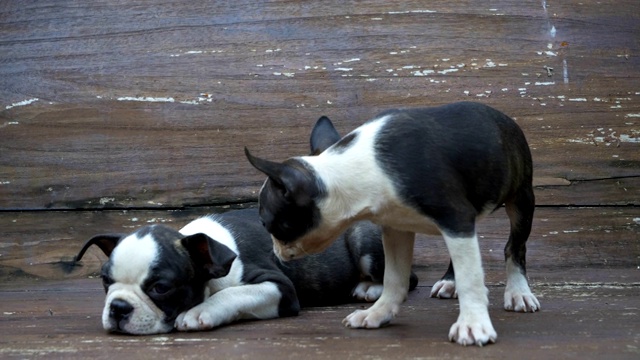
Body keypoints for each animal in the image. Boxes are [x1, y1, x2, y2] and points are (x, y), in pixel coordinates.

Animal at [75, 208, 418, 334]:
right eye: (105, 281)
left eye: (161, 287)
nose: (118, 308)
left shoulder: (280, 287)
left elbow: (234, 293)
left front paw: (200, 312)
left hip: (364, 243)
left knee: (405, 277)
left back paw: (369, 288)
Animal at [245, 100, 540, 346]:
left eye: (266, 224)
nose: (275, 252)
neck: (355, 171)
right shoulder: (397, 228)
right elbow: (394, 278)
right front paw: (378, 313)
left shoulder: (455, 217)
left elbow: (471, 276)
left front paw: (473, 324)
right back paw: (449, 281)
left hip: (521, 198)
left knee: (515, 247)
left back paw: (517, 291)